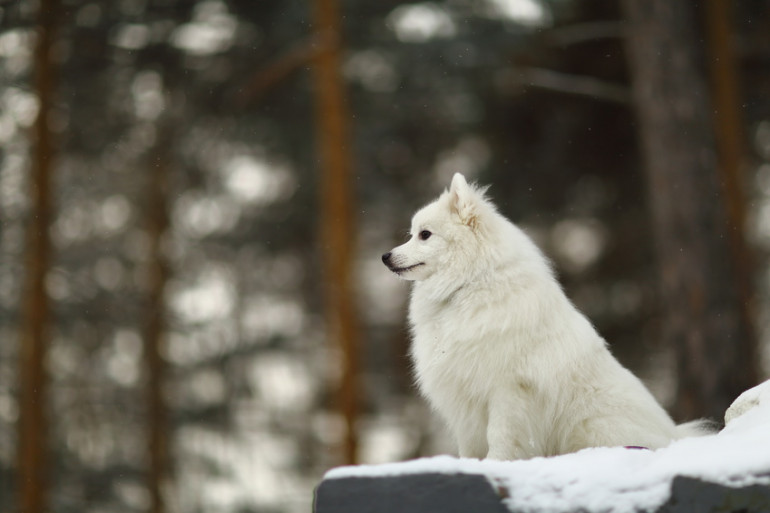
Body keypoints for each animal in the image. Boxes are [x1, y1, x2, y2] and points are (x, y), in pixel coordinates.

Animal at [380, 173, 704, 460]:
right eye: (411, 234)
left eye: (424, 235)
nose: (385, 256)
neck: (471, 285)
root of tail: (673, 436)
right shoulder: (464, 399)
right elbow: (469, 447)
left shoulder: (507, 389)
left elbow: (500, 437)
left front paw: (497, 464)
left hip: (595, 426)